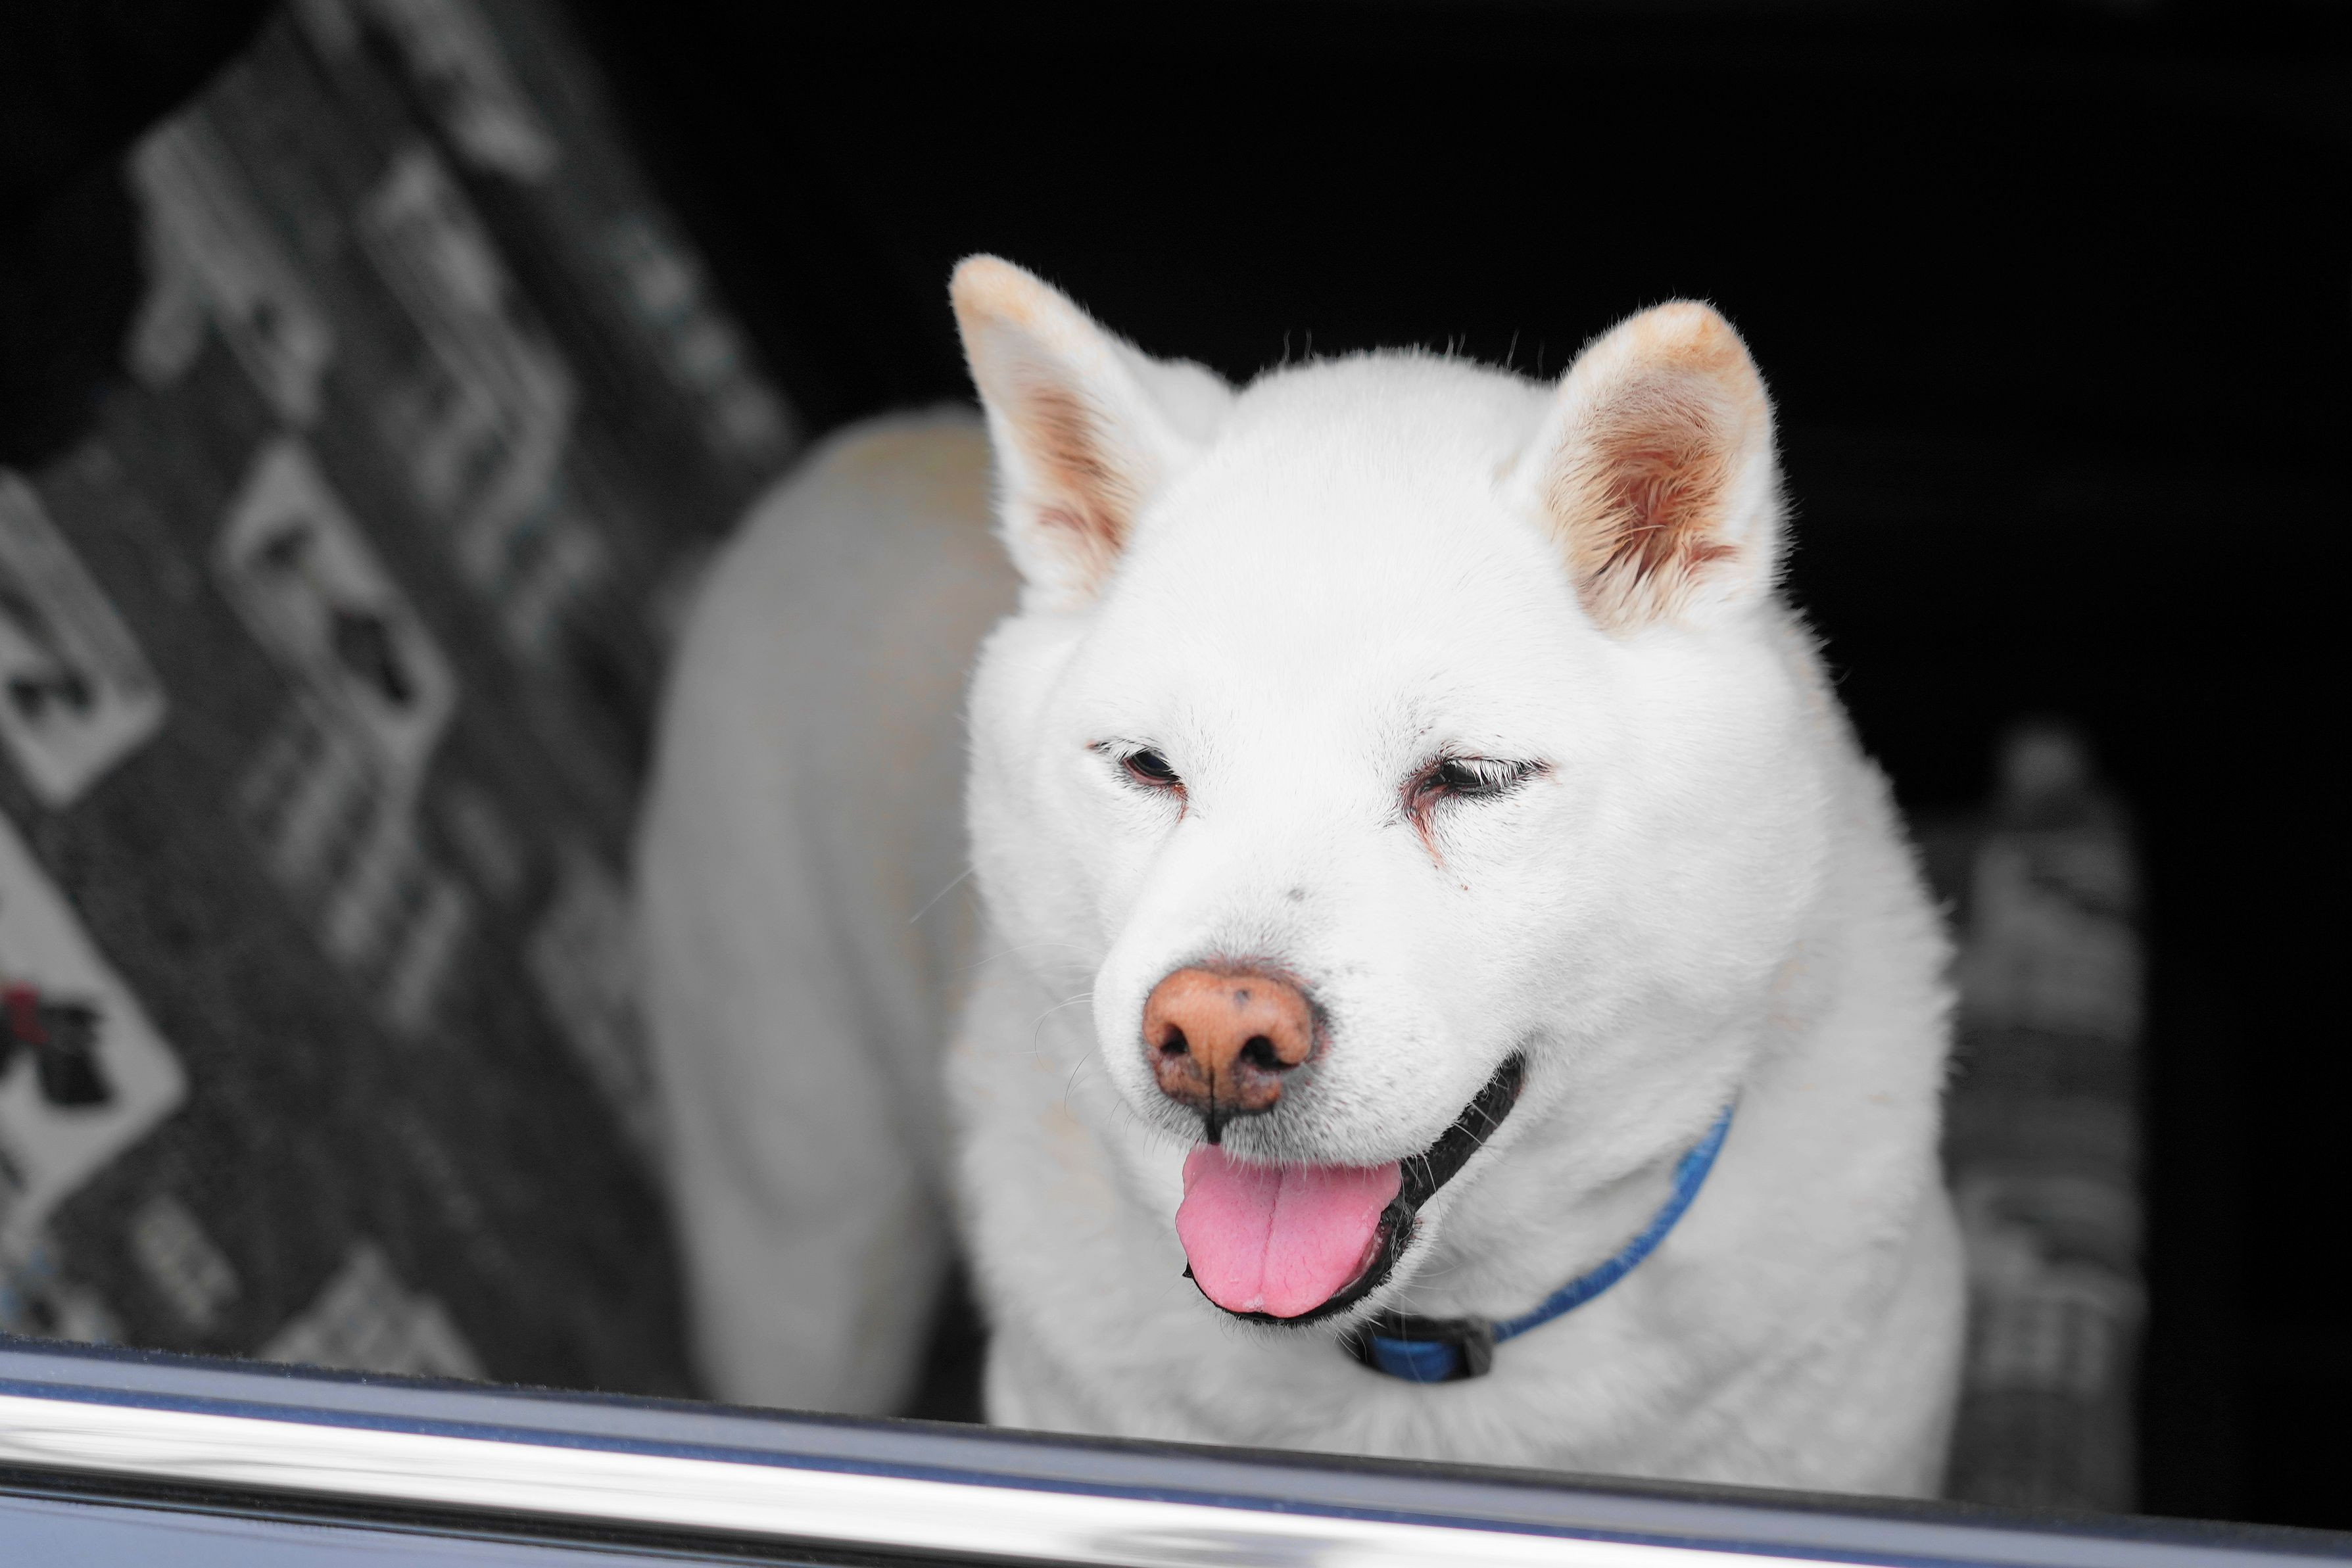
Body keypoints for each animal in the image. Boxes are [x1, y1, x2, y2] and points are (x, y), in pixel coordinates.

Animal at [637, 256, 1964, 1496]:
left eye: (1469, 777)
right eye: (1146, 768)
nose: (1217, 1036)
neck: (1415, 1372)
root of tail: (856, 450)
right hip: (796, 1243)